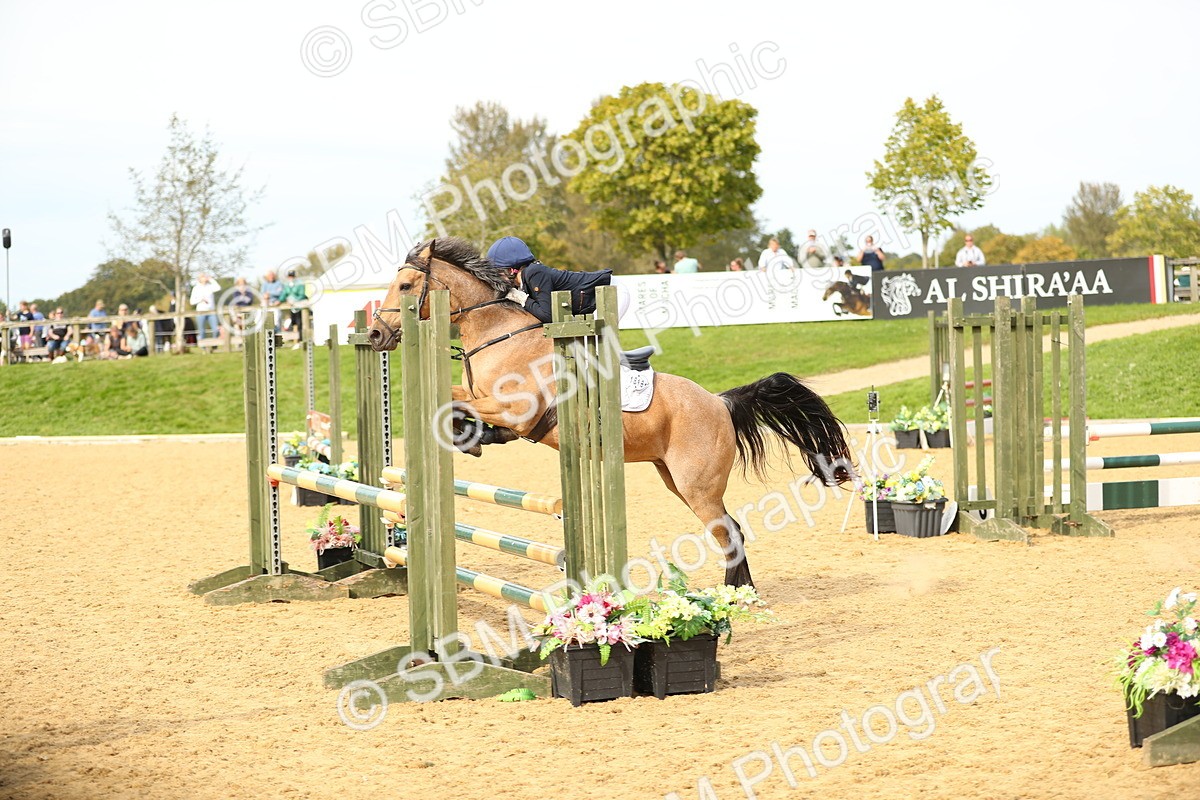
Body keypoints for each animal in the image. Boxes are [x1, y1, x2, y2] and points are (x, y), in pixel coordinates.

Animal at [369, 238, 854, 587]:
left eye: (406, 287)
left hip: (697, 485)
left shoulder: (516, 410)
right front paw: (472, 436)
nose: (374, 335)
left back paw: (738, 594)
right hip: (673, 478)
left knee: (727, 530)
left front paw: (467, 436)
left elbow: (454, 401)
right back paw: (738, 589)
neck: (497, 334)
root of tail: (719, 402)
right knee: (730, 526)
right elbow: (455, 398)